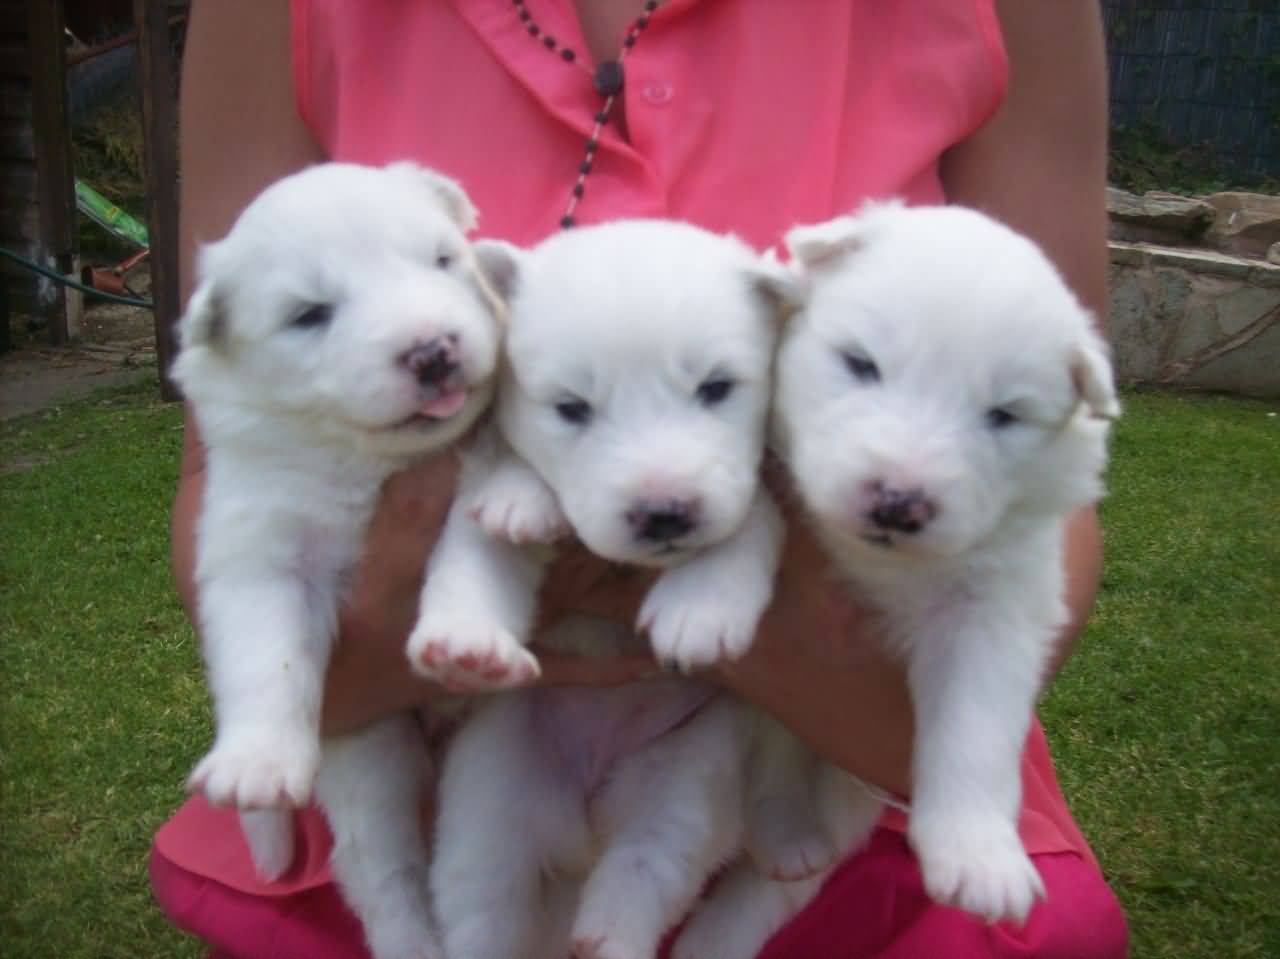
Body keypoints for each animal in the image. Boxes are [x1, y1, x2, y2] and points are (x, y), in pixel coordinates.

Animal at [168, 160, 504, 957]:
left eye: (442, 260)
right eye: (310, 314)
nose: (433, 350)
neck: (366, 462)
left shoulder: (480, 477)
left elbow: (470, 561)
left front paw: (466, 638)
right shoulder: (259, 552)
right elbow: (268, 654)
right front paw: (256, 763)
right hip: (369, 759)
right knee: (382, 873)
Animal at [417, 220, 798, 957]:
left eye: (716, 388)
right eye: (571, 407)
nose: (664, 513)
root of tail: (584, 827)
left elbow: (752, 517)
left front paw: (700, 606)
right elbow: (479, 544)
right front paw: (468, 637)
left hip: (686, 779)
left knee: (648, 867)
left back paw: (608, 928)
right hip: (494, 792)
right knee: (485, 904)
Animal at [675, 202, 1116, 957]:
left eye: (1004, 415)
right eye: (861, 363)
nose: (898, 503)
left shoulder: (995, 606)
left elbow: (975, 719)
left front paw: (980, 857)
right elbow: (750, 510)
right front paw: (703, 605)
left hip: (842, 799)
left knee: (775, 878)